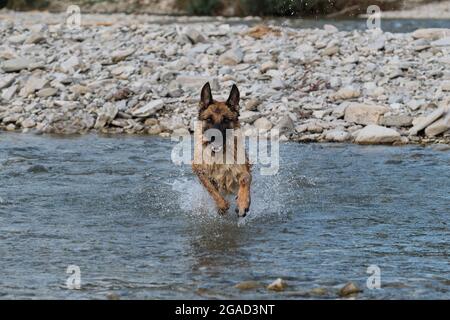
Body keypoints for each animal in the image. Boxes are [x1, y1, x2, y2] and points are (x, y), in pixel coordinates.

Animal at [192, 82, 251, 218]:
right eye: (209, 119)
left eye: (226, 120)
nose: (215, 137)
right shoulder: (198, 169)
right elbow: (211, 188)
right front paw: (222, 205)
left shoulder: (242, 169)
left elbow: (245, 179)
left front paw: (242, 203)